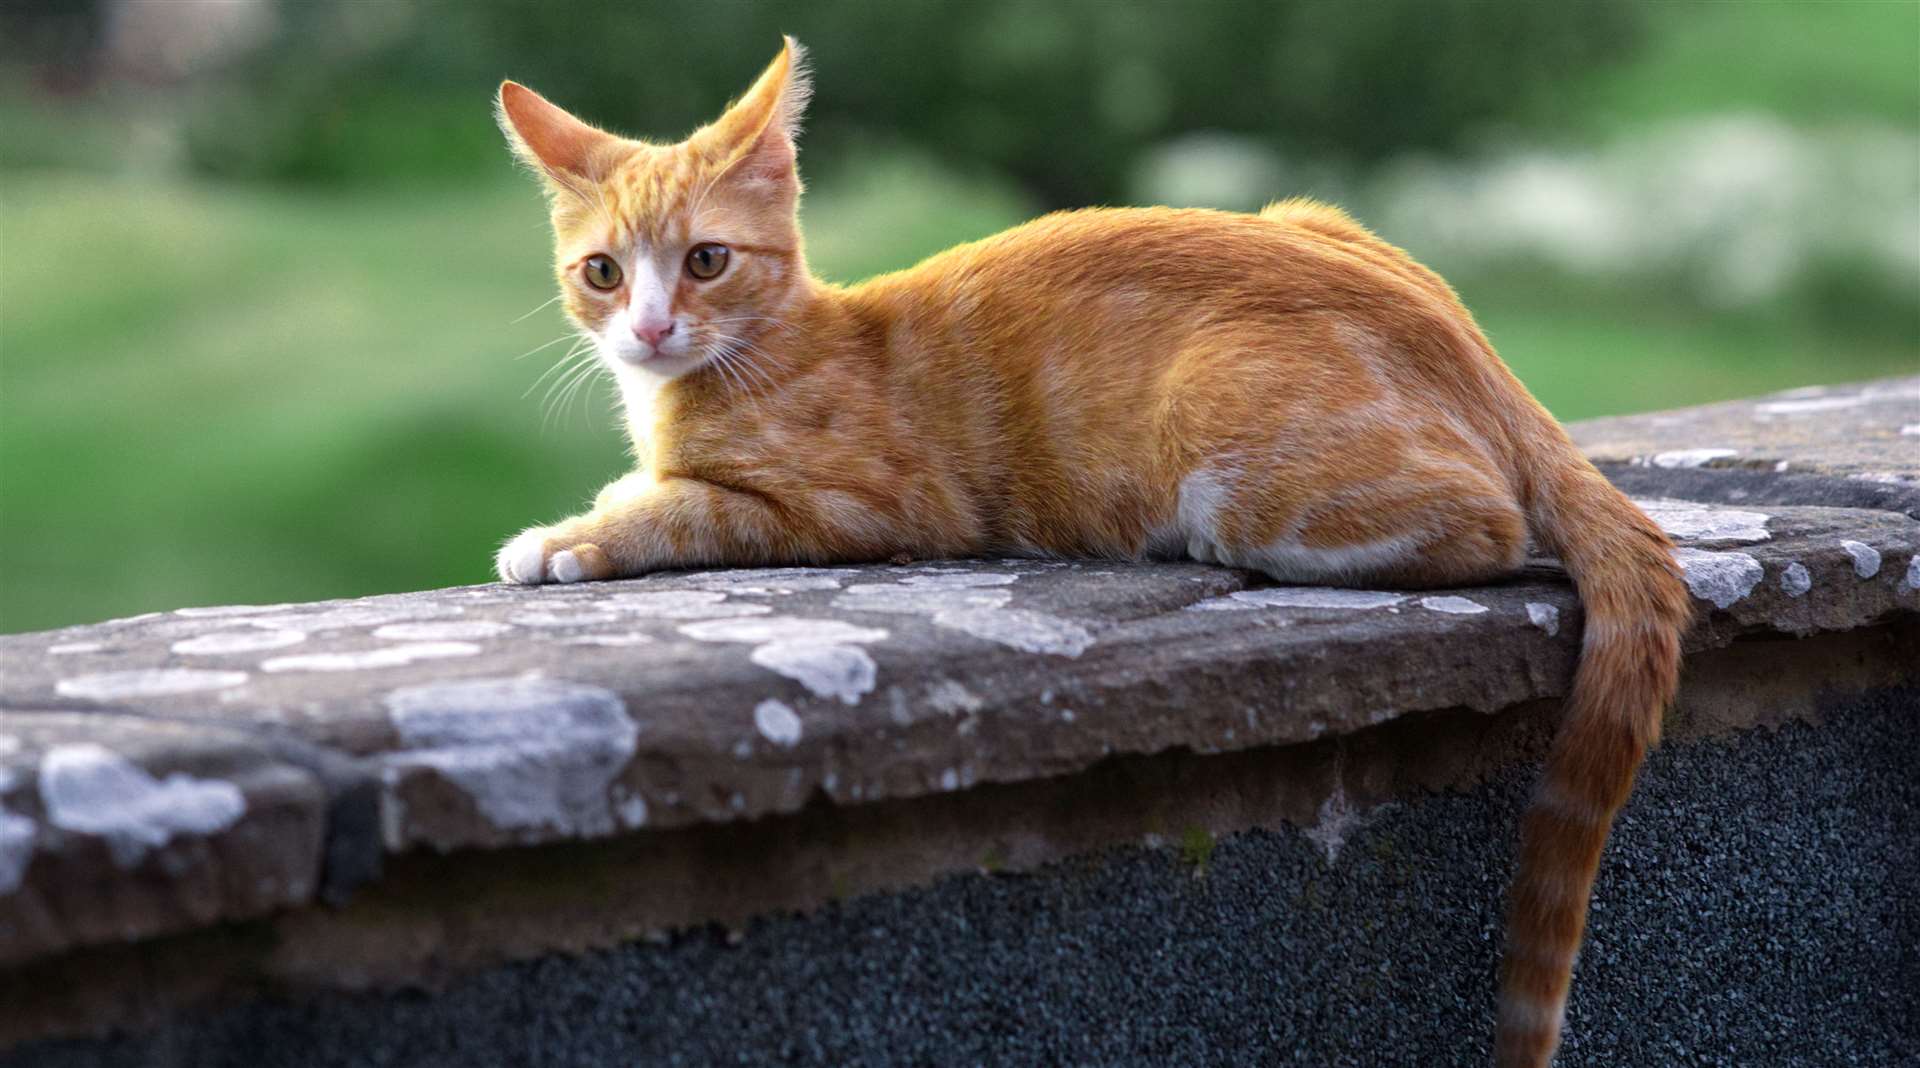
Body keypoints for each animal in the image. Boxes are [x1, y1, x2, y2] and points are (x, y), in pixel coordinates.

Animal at [495, 37, 1697, 1060]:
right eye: (603, 272)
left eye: (706, 260)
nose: (650, 328)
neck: (750, 356)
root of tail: (1480, 359)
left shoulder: (862, 503)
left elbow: (687, 508)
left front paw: (566, 537)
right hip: (1314, 216)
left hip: (1233, 454)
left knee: (1489, 524)